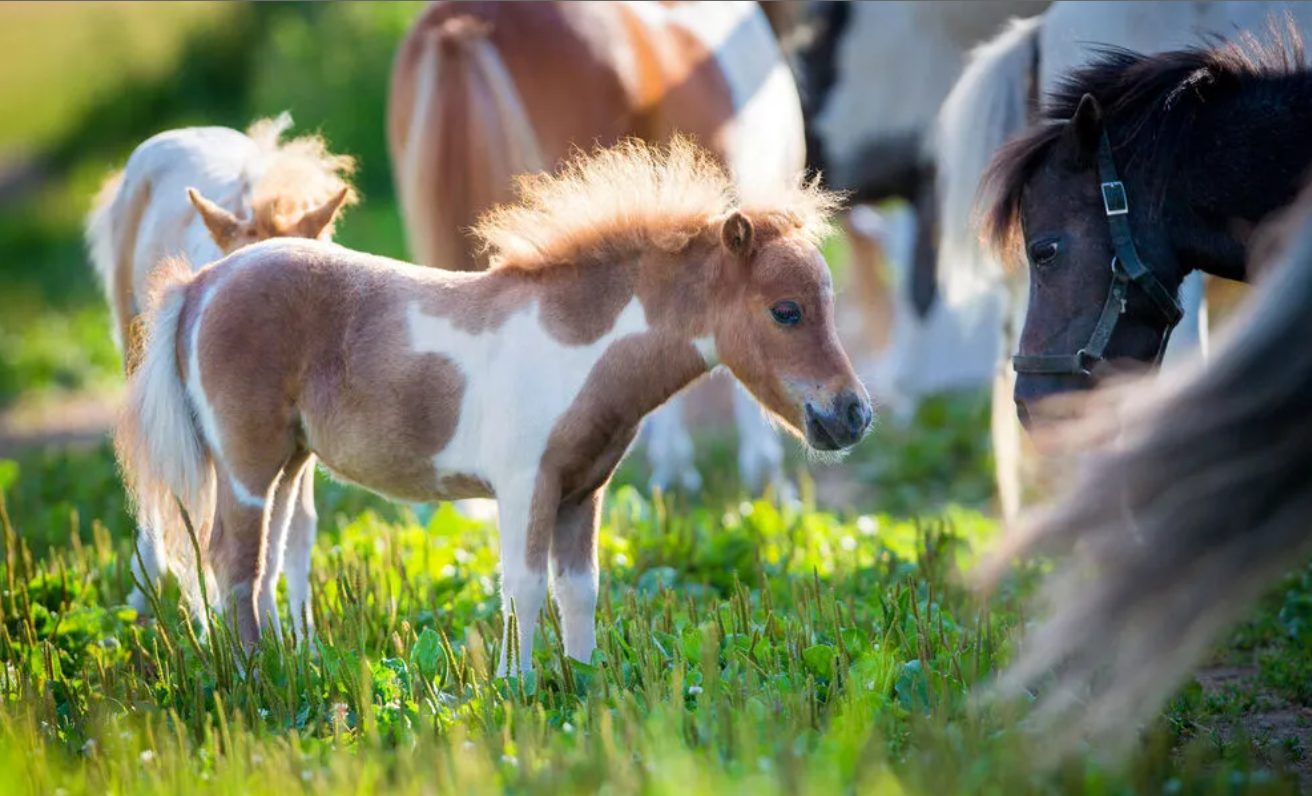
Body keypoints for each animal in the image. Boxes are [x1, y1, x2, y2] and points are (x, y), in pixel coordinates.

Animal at [85, 113, 356, 634]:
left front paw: (301, 637)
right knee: (157, 485)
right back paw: (146, 594)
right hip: (140, 359)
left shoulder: (300, 434)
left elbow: (297, 525)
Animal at [115, 140, 871, 668]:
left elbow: (579, 589)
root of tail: (204, 283)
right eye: (786, 311)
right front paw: (518, 688)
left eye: (830, 303)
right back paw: (255, 677)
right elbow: (523, 587)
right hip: (245, 463)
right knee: (231, 561)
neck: (575, 345)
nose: (853, 414)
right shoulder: (526, 484)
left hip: (291, 463)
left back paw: (288, 665)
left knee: (268, 562)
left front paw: (582, 683)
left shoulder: (583, 492)